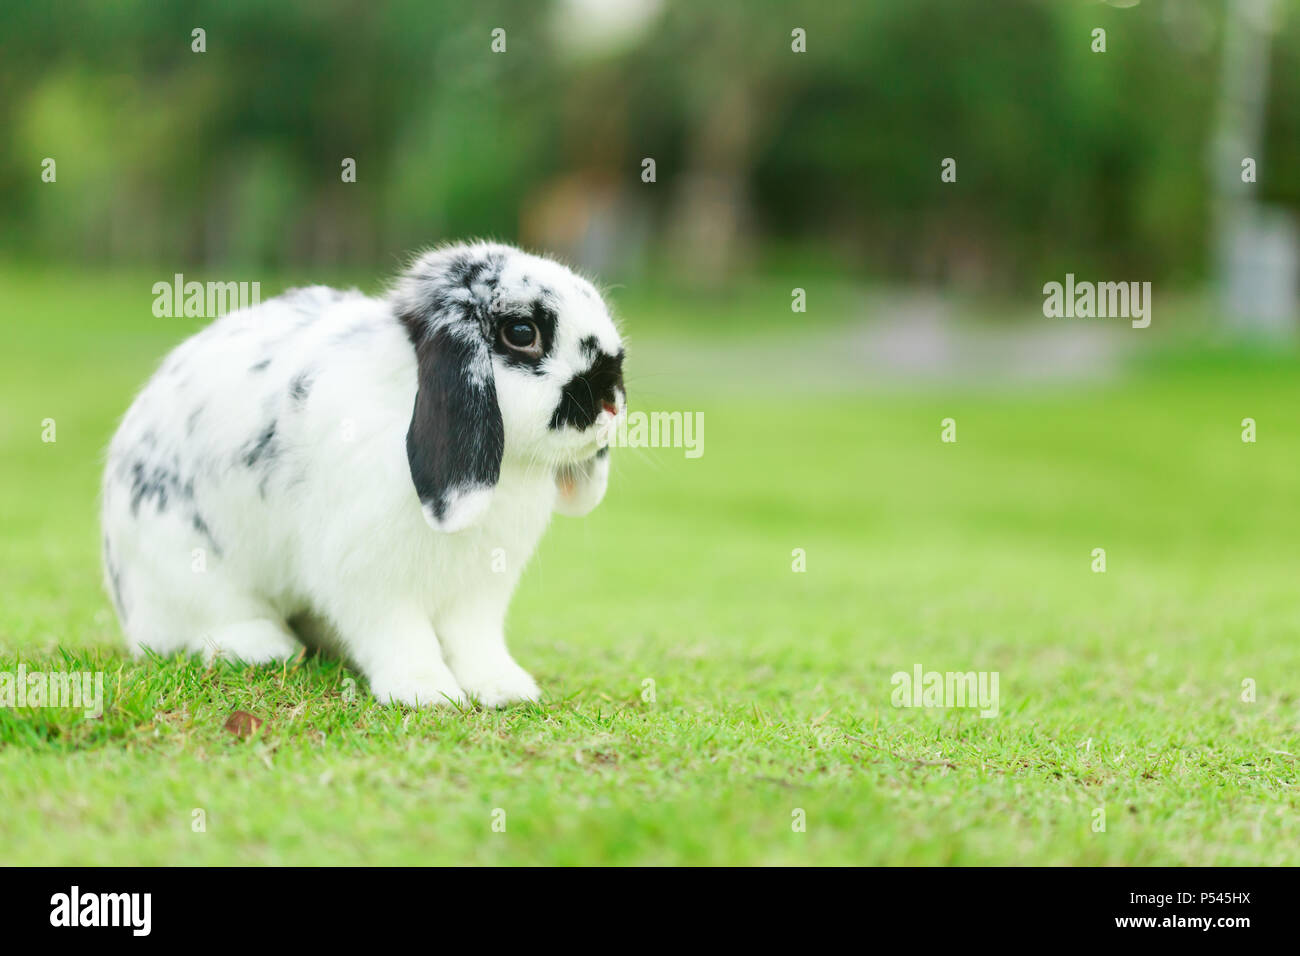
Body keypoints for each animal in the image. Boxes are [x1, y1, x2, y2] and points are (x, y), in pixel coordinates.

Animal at [100, 242, 625, 707]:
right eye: (521, 331)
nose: (611, 403)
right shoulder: (372, 578)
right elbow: (402, 636)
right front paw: (427, 693)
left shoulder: (477, 591)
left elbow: (474, 642)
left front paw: (504, 690)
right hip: (189, 570)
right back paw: (265, 648)